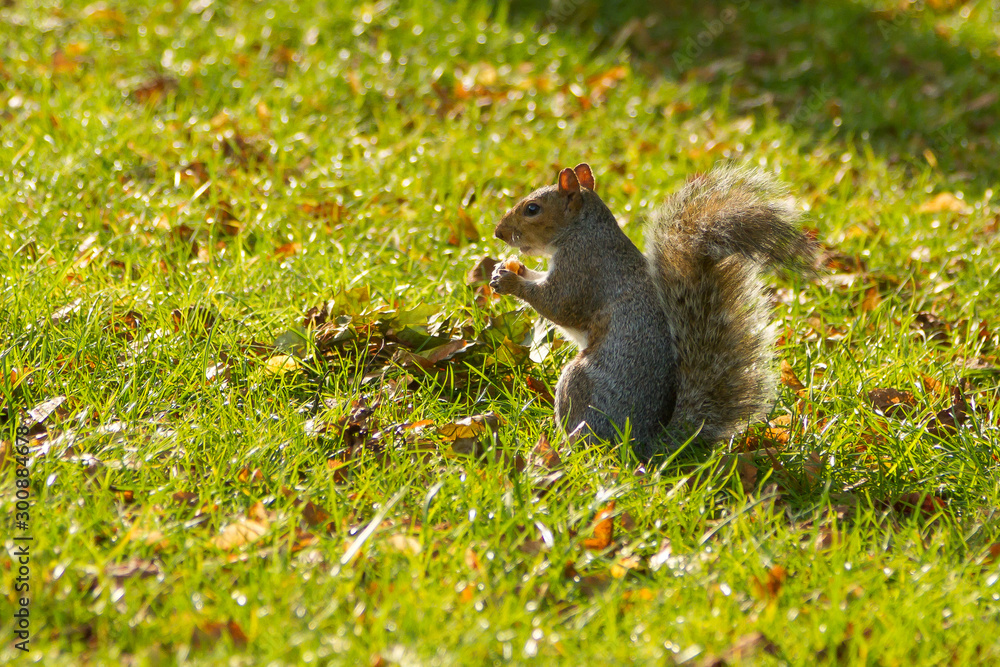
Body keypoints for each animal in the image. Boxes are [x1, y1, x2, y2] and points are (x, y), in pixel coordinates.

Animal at [490, 162, 815, 459]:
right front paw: (507, 269)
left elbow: (558, 305)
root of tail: (643, 445)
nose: (498, 233)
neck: (582, 230)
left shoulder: (582, 269)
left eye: (532, 209)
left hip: (579, 383)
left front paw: (510, 281)